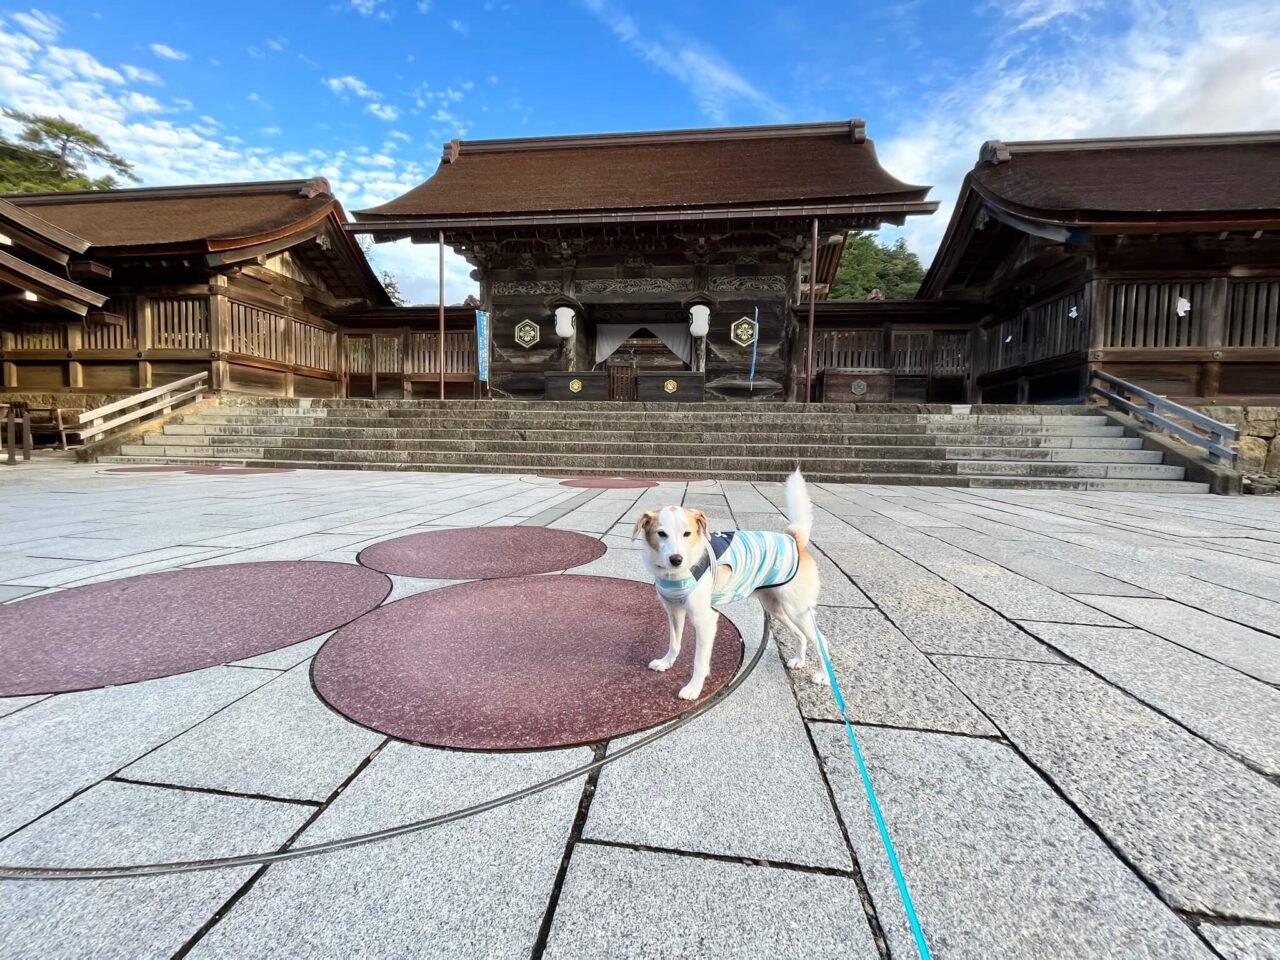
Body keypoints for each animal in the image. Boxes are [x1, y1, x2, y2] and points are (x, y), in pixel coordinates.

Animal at [634, 471, 824, 701]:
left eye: (687, 534)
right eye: (661, 534)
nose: (676, 559)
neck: (675, 574)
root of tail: (794, 539)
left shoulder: (705, 620)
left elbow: (699, 661)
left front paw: (694, 688)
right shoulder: (674, 612)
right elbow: (674, 643)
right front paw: (666, 662)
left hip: (797, 609)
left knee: (821, 641)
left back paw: (823, 675)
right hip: (776, 607)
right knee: (800, 634)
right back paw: (799, 661)